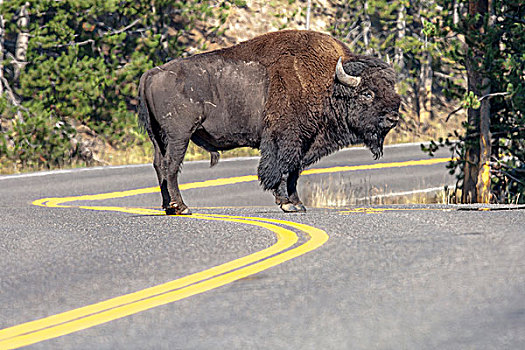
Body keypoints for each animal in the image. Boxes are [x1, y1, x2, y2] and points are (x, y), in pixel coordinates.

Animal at [137, 30, 400, 215]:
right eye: (367, 93)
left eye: (391, 88)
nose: (393, 117)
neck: (329, 83)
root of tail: (151, 73)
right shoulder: (285, 139)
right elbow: (281, 169)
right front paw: (287, 204)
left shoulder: (305, 142)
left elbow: (294, 172)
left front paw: (298, 203)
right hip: (179, 136)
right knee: (171, 166)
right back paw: (182, 207)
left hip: (158, 137)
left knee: (159, 165)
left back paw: (168, 207)